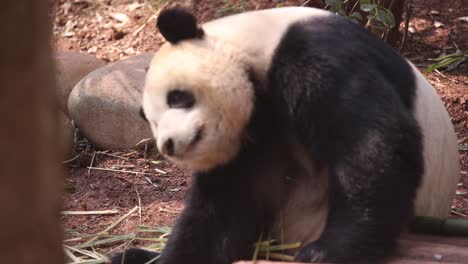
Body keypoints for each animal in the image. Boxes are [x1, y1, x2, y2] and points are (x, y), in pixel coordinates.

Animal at [111, 6, 458, 264]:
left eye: (177, 97)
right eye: (152, 122)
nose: (169, 144)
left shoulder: (317, 56)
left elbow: (371, 142)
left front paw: (327, 251)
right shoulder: (251, 141)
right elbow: (224, 207)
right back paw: (133, 255)